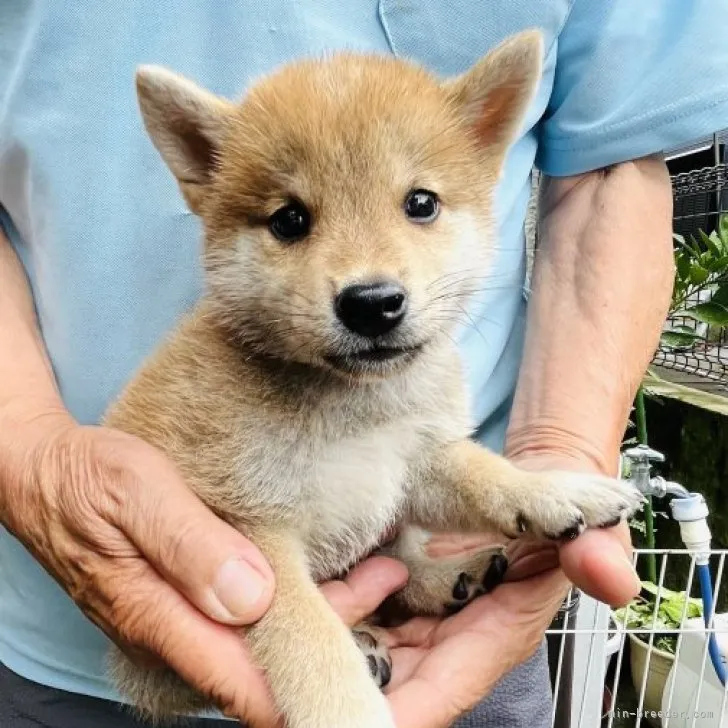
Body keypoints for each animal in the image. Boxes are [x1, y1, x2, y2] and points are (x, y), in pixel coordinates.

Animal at [105, 29, 640, 728]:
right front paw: (346, 699)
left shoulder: (412, 463)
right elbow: (310, 642)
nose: (372, 302)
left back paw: (452, 577)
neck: (355, 411)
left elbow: (484, 475)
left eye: (421, 203)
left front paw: (551, 488)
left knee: (401, 564)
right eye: (289, 219)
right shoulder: (250, 536)